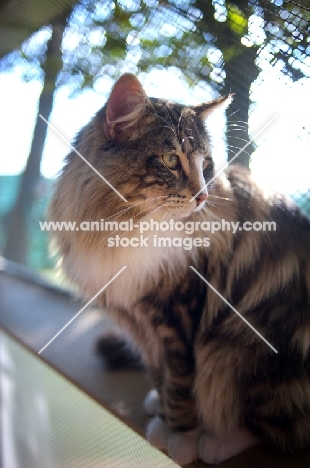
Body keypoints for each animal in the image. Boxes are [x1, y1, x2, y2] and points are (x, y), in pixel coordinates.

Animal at [49, 73, 310, 464]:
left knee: (268, 427)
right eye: (171, 159)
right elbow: (160, 377)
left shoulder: (181, 316)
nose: (203, 196)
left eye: (206, 165)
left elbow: (181, 383)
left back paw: (216, 442)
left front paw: (182, 437)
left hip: (243, 348)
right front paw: (162, 414)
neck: (126, 228)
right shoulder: (139, 321)